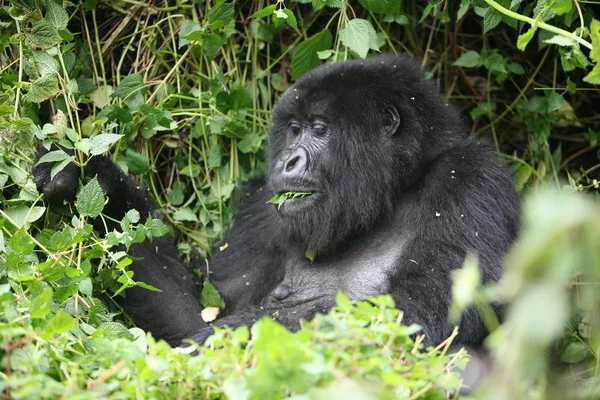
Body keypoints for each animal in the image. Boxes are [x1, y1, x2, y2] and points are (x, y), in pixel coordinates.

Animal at [34, 54, 520, 350]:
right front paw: (88, 176)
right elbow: (200, 311)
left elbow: (423, 310)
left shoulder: (471, 179)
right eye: (293, 129)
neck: (391, 194)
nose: (289, 160)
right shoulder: (262, 207)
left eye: (319, 129)